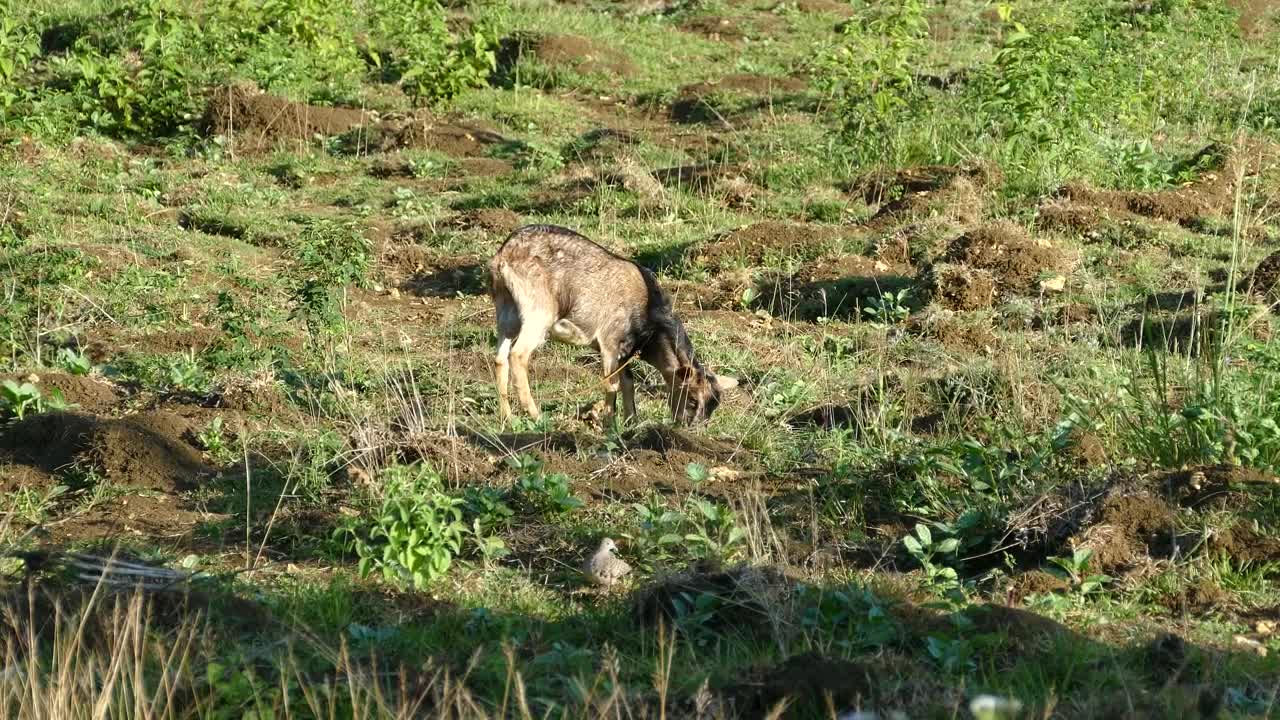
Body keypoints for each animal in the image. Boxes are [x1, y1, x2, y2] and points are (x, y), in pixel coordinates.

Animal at [489, 224, 737, 426]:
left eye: (713, 406)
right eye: (693, 399)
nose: (691, 427)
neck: (648, 313)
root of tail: (503, 256)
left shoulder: (624, 350)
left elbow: (628, 382)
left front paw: (631, 422)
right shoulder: (609, 340)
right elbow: (612, 383)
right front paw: (609, 424)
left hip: (507, 311)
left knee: (500, 358)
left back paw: (507, 417)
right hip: (539, 311)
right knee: (518, 355)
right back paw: (535, 415)